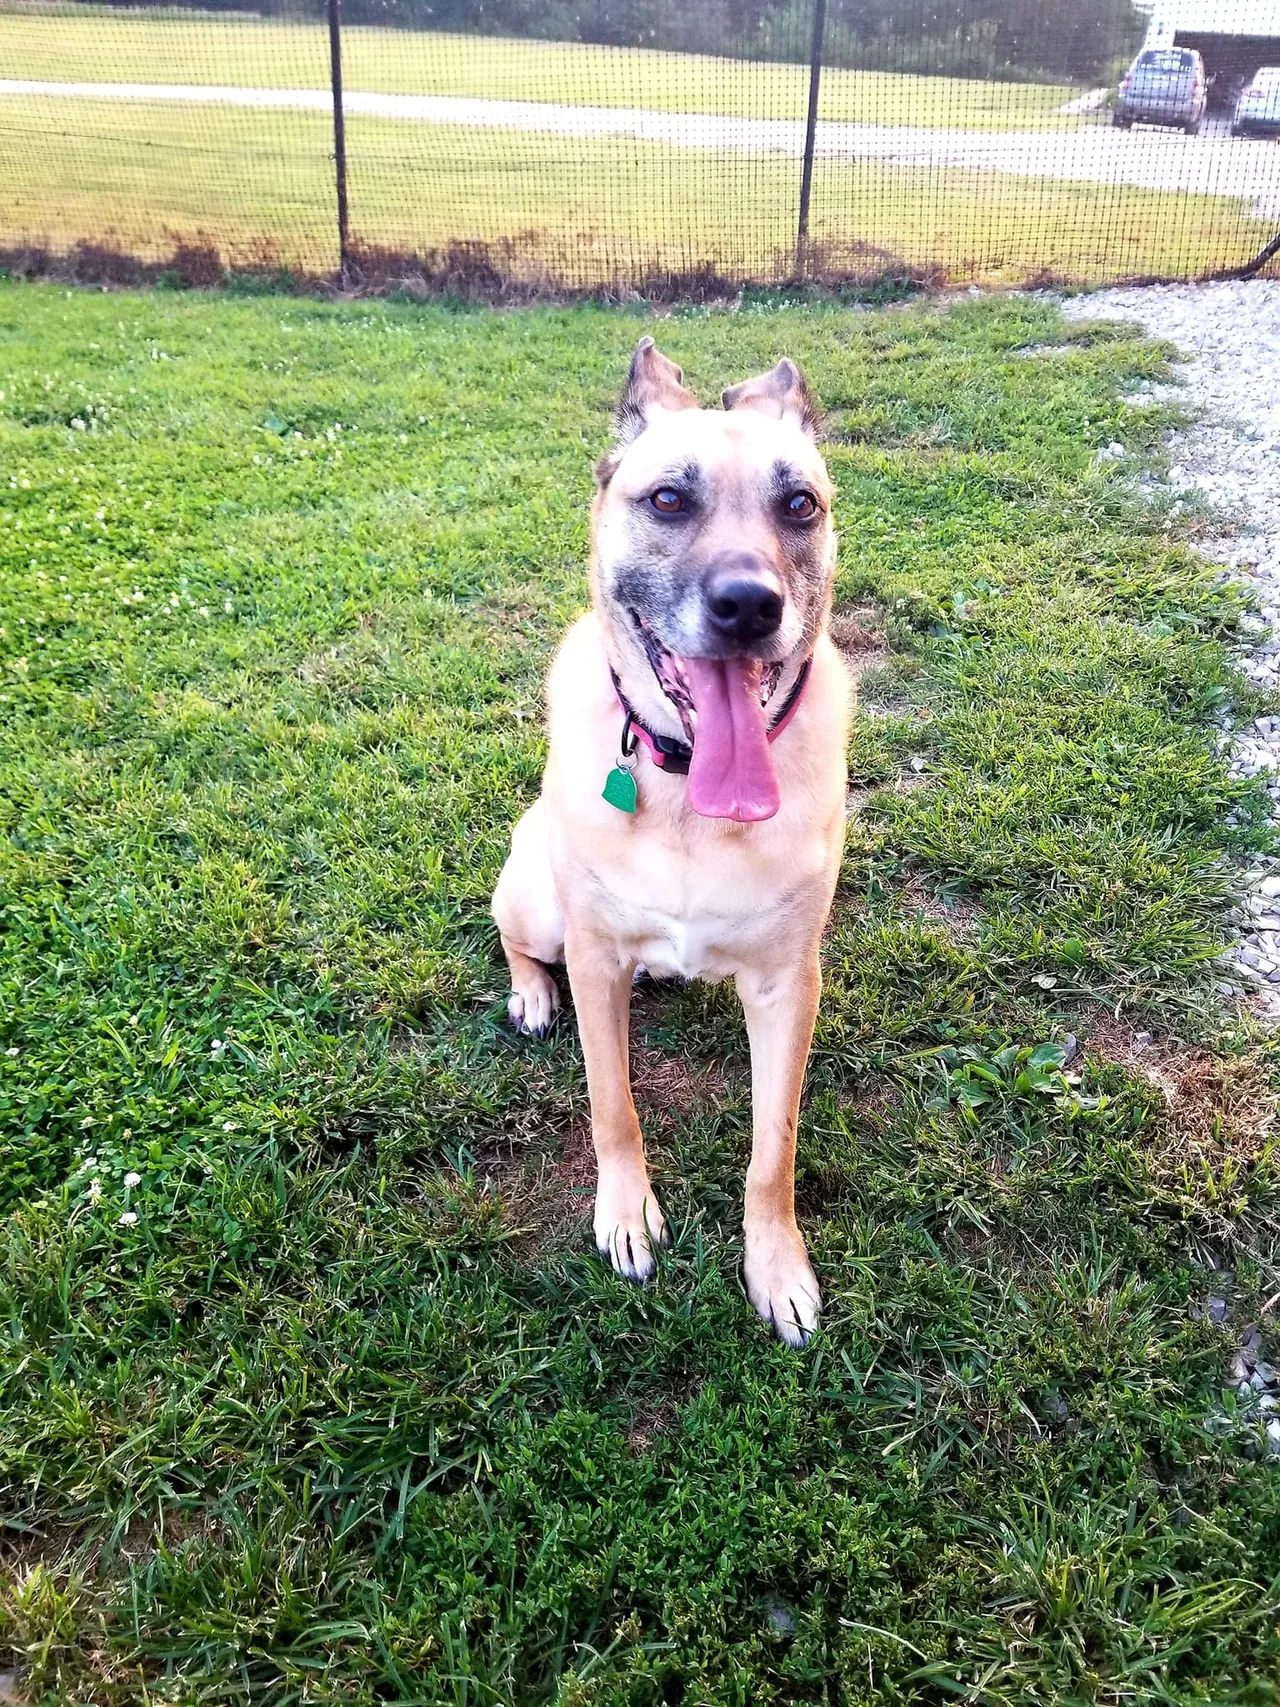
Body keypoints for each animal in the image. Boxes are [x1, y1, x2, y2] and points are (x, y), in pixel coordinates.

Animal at [491, 336, 853, 1345]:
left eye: (799, 503)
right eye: (666, 499)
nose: (748, 604)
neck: (694, 796)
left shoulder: (788, 984)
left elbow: (774, 1148)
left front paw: (777, 1266)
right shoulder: (597, 957)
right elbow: (612, 1105)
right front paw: (625, 1216)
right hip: (539, 897)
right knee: (513, 936)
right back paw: (530, 994)